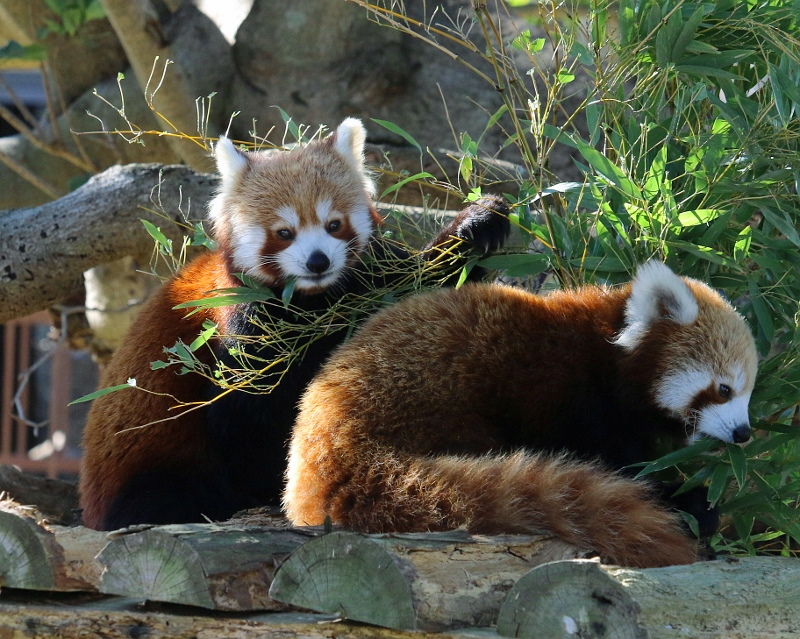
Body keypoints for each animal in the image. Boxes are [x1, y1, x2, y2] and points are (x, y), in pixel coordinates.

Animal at [78, 119, 510, 528]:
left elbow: (420, 288)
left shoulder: (372, 282)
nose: (318, 261)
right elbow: (246, 420)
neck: (314, 302)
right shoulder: (242, 327)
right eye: (284, 233)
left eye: (334, 224)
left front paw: (477, 223)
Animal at [284, 262, 760, 568]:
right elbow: (612, 458)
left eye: (748, 393)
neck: (609, 354)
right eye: (724, 389)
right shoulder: (570, 394)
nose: (743, 434)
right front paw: (687, 501)